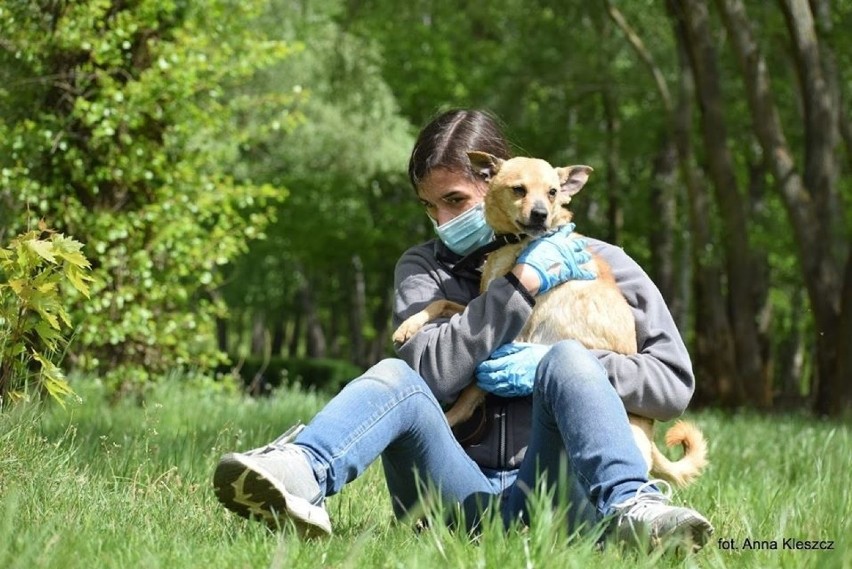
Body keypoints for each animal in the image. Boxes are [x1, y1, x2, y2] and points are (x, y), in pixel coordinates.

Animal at [396, 152, 708, 488]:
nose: (540, 215)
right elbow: (440, 303)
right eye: (518, 189)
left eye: (553, 192)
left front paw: (450, 416)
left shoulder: (511, 338)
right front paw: (407, 326)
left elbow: (472, 390)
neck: (512, 244)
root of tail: (650, 438)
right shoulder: (477, 307)